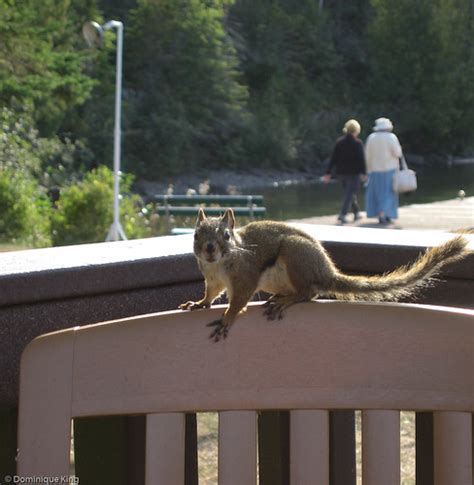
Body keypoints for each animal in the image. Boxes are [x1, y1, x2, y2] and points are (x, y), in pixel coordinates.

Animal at [180, 208, 468, 340]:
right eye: (195, 235)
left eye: (226, 236)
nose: (209, 249)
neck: (219, 264)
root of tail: (327, 272)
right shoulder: (213, 279)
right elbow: (211, 294)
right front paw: (199, 303)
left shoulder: (246, 276)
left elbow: (239, 300)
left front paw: (228, 318)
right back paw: (279, 297)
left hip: (295, 255)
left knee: (309, 292)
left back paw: (288, 299)